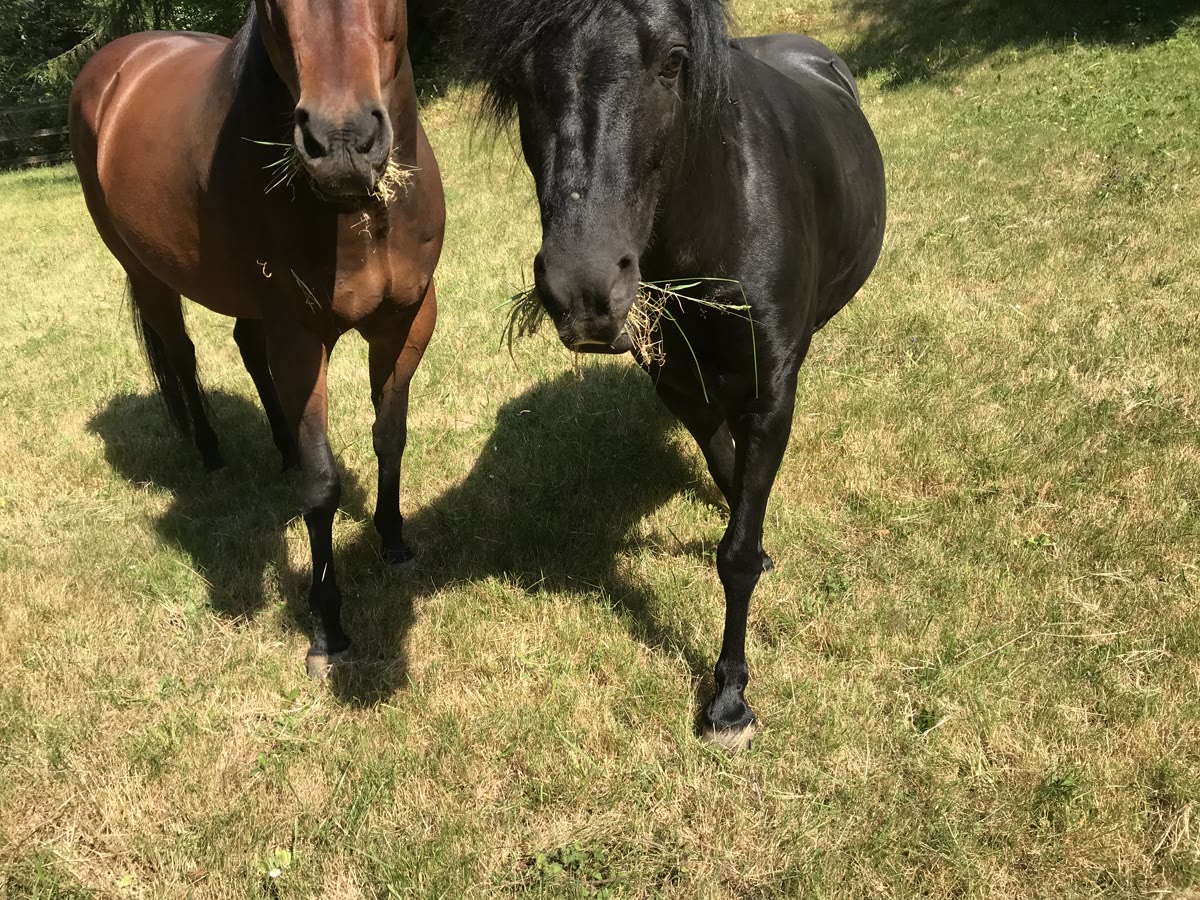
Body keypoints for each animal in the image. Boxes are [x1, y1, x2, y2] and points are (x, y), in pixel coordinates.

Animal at [70, 0, 445, 677]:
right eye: (272, 5)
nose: (342, 143)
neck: (360, 217)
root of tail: (114, 65)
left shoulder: (405, 321)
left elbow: (390, 438)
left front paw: (395, 541)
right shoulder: (300, 338)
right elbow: (321, 485)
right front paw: (328, 632)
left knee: (245, 346)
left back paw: (280, 445)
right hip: (148, 275)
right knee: (181, 356)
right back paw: (211, 450)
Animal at [458, 0, 886, 749]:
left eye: (673, 62)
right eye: (518, 77)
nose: (584, 291)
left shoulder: (771, 393)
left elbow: (736, 550)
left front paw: (730, 700)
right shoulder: (680, 386)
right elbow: (726, 471)